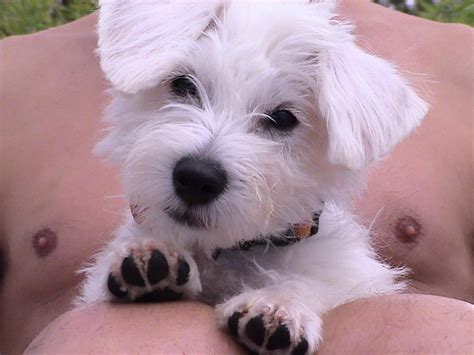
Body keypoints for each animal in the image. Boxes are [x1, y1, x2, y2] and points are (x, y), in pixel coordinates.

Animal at [77, 1, 426, 354]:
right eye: (184, 85)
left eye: (283, 118)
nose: (196, 179)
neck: (228, 251)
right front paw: (148, 256)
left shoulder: (348, 274)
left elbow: (313, 282)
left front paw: (277, 307)